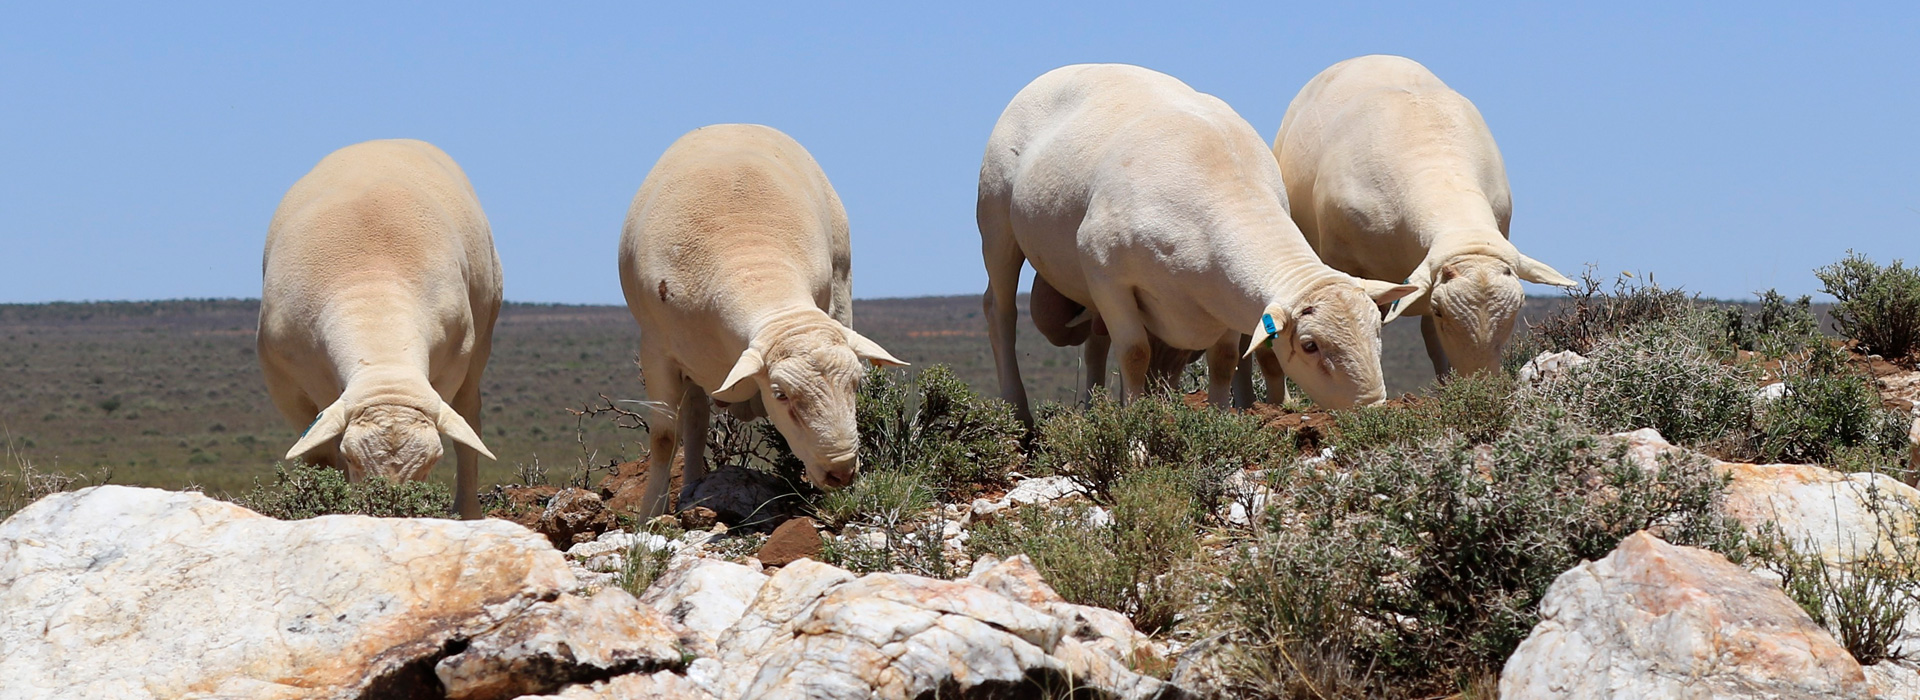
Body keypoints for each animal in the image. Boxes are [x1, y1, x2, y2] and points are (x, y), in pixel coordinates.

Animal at [258, 139, 501, 519]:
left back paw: (467, 511)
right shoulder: (285, 383)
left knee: (469, 421)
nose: (391, 507)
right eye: (351, 458)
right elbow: (317, 454)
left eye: (433, 461)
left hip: (481, 341)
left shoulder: (451, 364)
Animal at [619, 124, 906, 519]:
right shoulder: (657, 350)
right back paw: (689, 487)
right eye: (780, 394)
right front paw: (650, 515)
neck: (752, 260)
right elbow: (664, 437)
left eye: (857, 383)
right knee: (695, 420)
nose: (841, 471)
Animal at [979, 64, 1417, 427]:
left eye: (1377, 329)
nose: (1372, 408)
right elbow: (1135, 354)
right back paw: (1019, 415)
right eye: (1310, 346)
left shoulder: (1224, 298)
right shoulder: (1107, 277)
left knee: (1096, 342)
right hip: (996, 221)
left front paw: (1222, 421)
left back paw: (1092, 409)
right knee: (1000, 312)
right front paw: (1135, 428)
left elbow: (1223, 362)